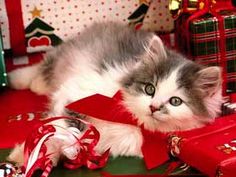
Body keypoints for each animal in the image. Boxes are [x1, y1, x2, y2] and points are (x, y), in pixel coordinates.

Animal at [8, 21, 224, 166]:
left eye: (176, 101)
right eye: (150, 89)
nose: (154, 107)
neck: (130, 119)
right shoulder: (73, 92)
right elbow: (59, 131)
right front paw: (26, 157)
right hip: (66, 56)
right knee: (42, 65)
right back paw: (24, 80)